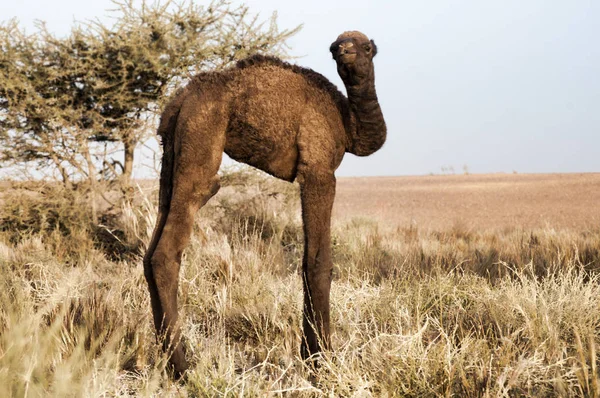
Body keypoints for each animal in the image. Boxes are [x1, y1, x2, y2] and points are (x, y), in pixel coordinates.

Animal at [144, 31, 390, 376]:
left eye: (366, 47)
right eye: (335, 49)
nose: (345, 52)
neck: (345, 123)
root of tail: (180, 100)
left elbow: (307, 260)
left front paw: (308, 354)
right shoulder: (319, 168)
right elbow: (318, 262)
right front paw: (321, 360)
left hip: (169, 153)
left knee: (150, 248)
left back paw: (168, 361)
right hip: (201, 133)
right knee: (168, 248)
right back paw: (182, 367)